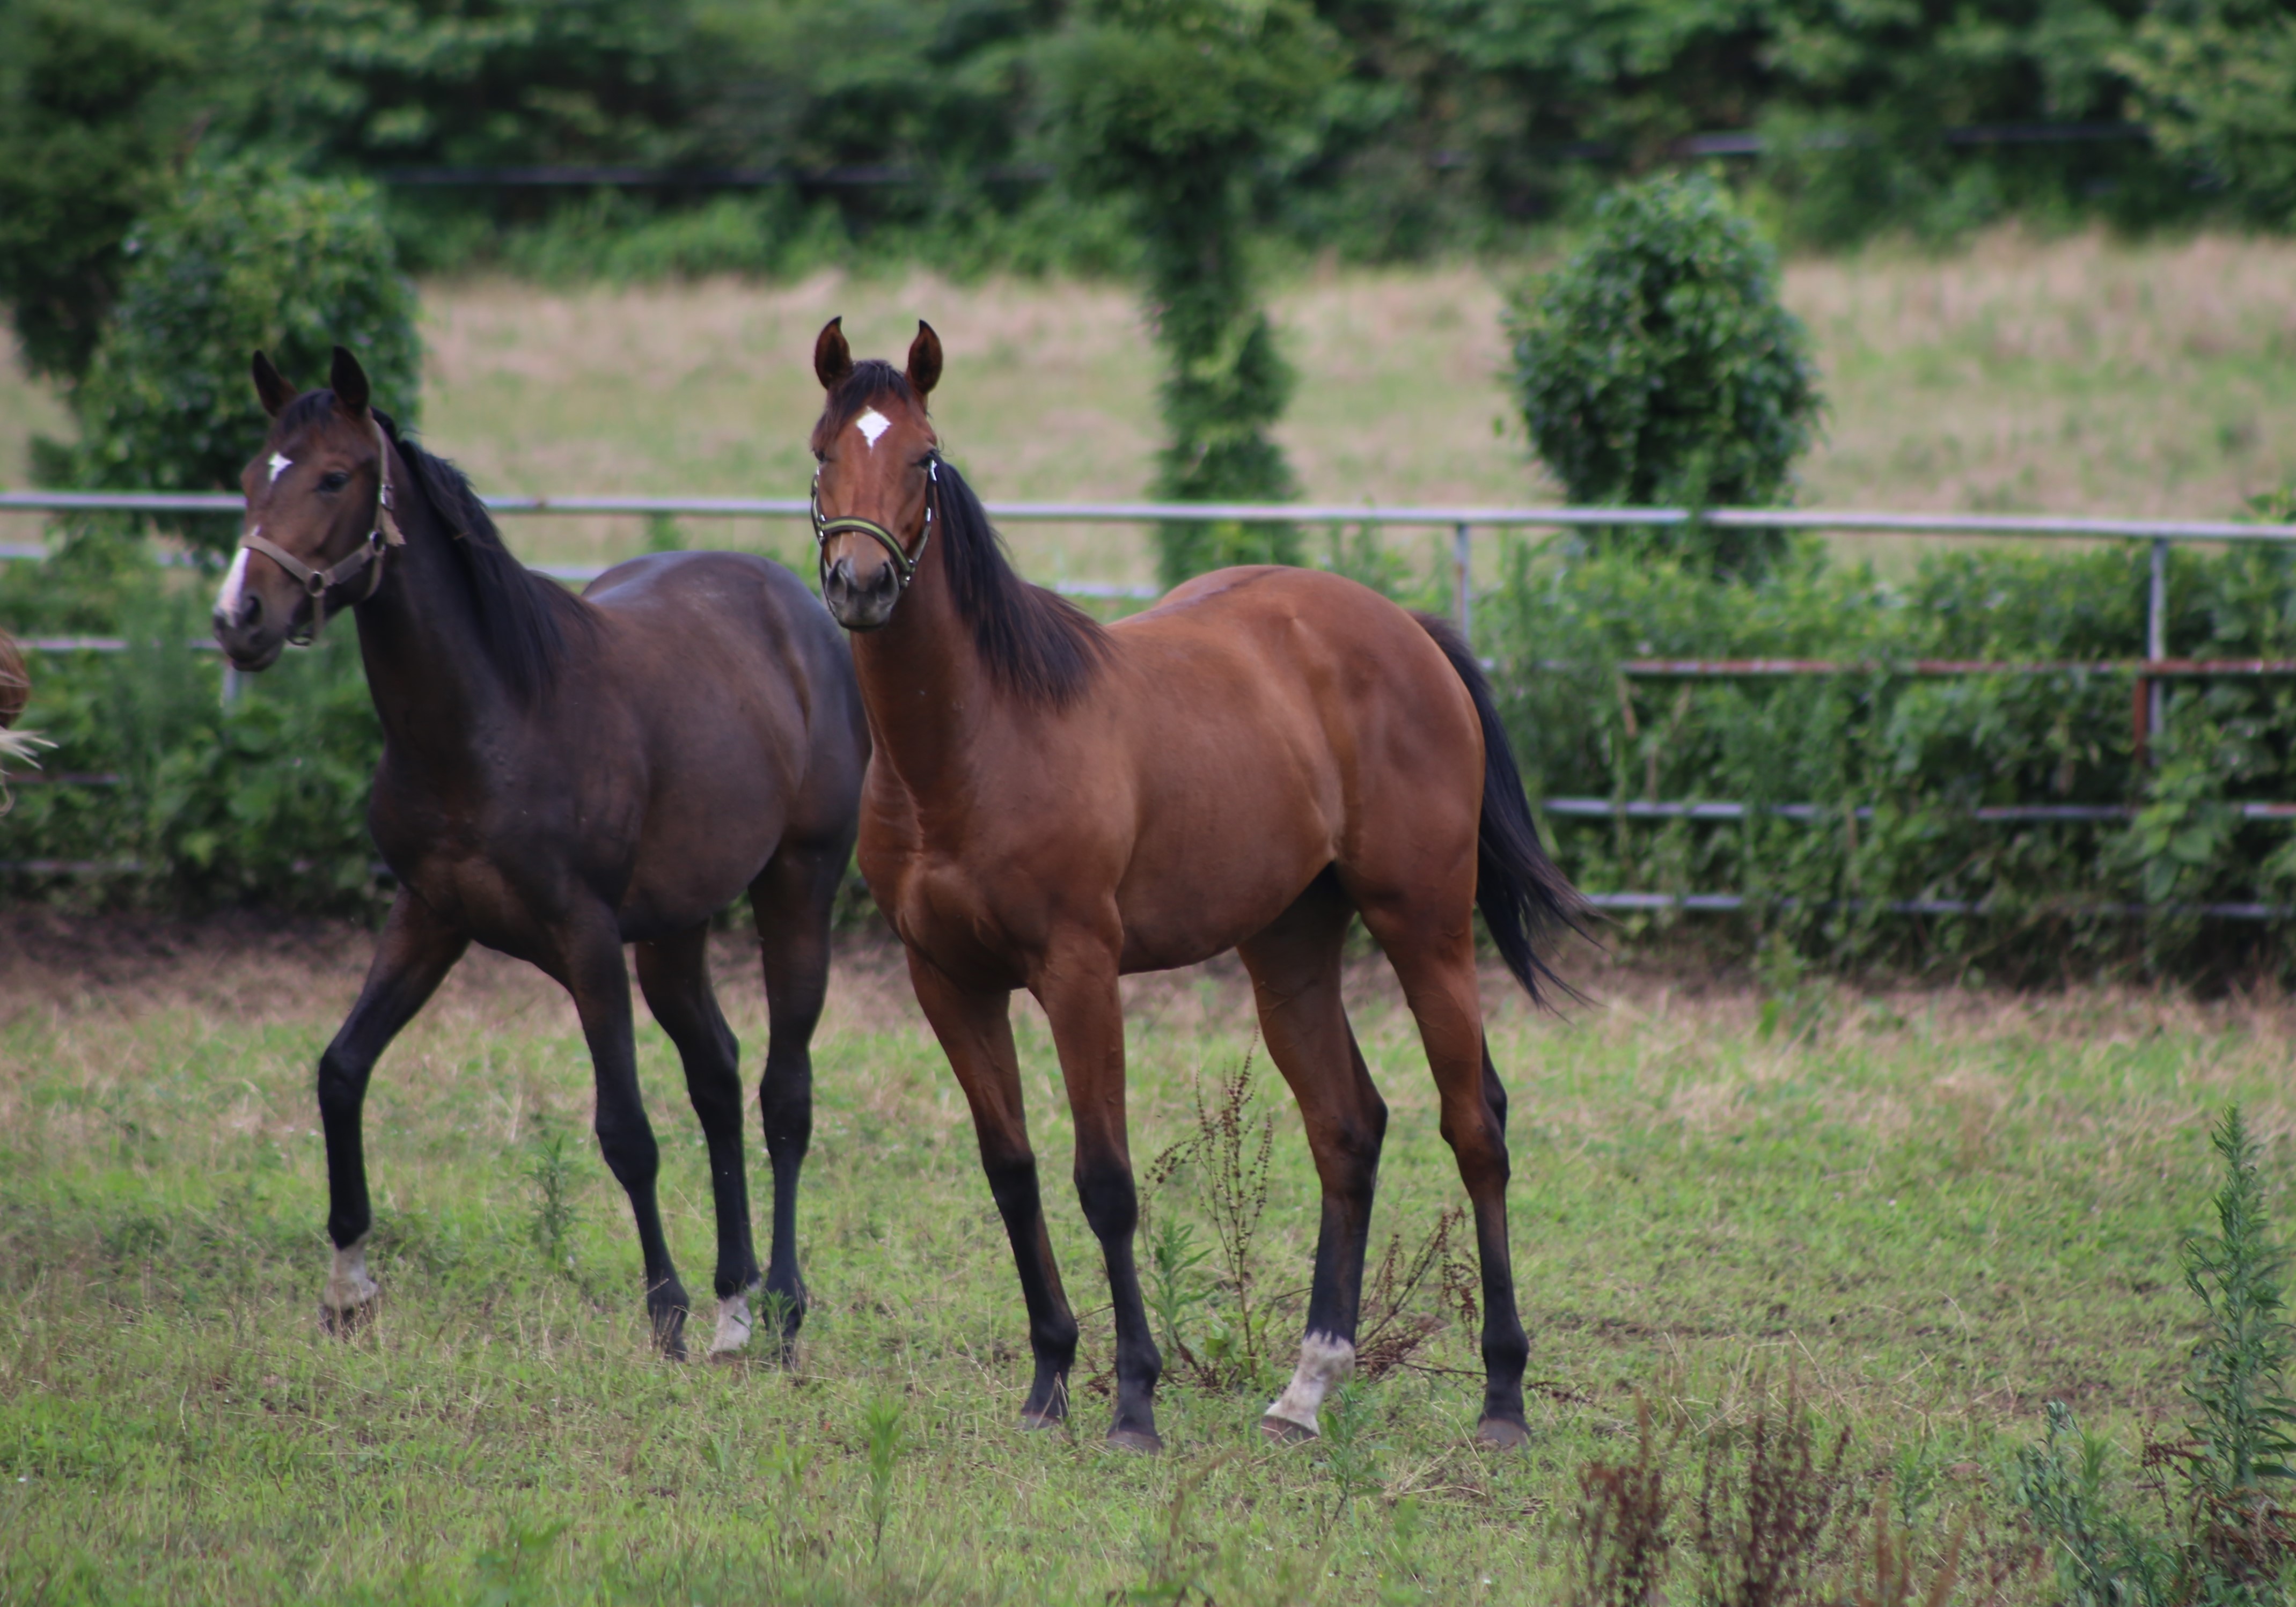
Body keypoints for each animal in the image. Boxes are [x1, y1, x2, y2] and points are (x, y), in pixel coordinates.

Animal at [217, 349, 868, 1359]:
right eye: (254, 476)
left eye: (333, 476)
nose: (240, 617)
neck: (495, 715)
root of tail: (800, 604)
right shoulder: (428, 914)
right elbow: (342, 1070)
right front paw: (348, 1286)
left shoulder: (585, 939)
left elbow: (626, 1130)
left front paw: (665, 1310)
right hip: (674, 932)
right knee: (718, 1077)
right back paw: (735, 1304)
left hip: (797, 887)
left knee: (782, 1092)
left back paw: (783, 1306)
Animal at [817, 319, 1589, 1451]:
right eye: (822, 448)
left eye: (922, 457)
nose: (861, 584)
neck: (975, 741)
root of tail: (1404, 630)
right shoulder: (945, 982)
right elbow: (1010, 1172)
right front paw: (1047, 1380)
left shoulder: (1079, 974)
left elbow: (1103, 1180)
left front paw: (1133, 1401)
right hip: (1288, 947)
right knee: (1346, 1126)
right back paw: (1305, 1390)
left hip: (1425, 928)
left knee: (1473, 1126)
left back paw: (1501, 1396)